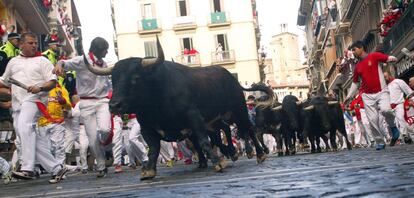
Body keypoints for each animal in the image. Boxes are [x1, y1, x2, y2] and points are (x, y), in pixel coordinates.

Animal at [85, 36, 274, 179]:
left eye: (135, 78)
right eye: (114, 79)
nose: (114, 105)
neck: (157, 103)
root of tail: (229, 76)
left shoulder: (194, 117)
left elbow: (203, 141)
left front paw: (217, 161)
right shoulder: (147, 127)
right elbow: (154, 149)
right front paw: (148, 170)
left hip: (238, 111)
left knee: (249, 130)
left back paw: (259, 154)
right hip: (217, 120)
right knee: (227, 131)